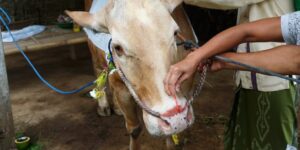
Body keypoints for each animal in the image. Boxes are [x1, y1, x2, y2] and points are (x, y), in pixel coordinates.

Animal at [67, 0, 197, 149]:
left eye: (175, 33)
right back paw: (103, 106)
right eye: (118, 48)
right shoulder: (120, 87)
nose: (175, 119)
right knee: (99, 71)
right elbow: (134, 129)